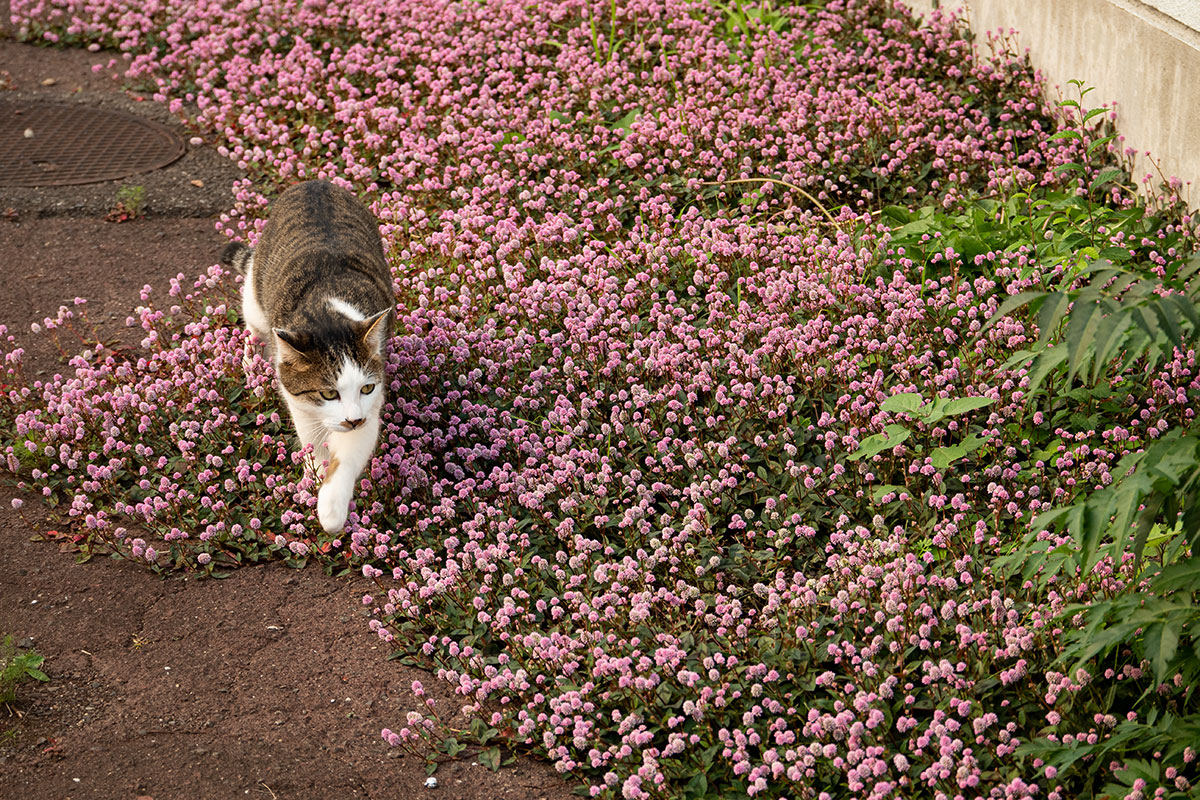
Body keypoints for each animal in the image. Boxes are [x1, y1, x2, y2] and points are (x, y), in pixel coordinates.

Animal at [220, 179, 393, 532]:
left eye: (366, 388)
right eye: (328, 393)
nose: (352, 420)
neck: (329, 312)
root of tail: (316, 182)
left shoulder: (370, 407)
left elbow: (349, 454)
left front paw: (330, 507)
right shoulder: (299, 402)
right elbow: (312, 441)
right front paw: (313, 476)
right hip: (256, 297)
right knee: (253, 326)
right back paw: (251, 363)